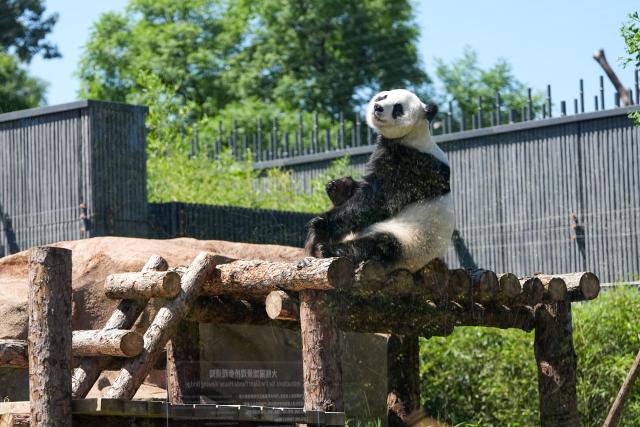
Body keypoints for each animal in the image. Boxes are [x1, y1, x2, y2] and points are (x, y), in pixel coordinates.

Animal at [305, 89, 454, 273]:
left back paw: (326, 249)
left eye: (398, 108)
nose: (378, 107)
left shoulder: (410, 166)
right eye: (383, 96)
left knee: (378, 245)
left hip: (410, 242)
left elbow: (375, 202)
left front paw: (320, 225)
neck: (413, 134)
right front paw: (339, 188)